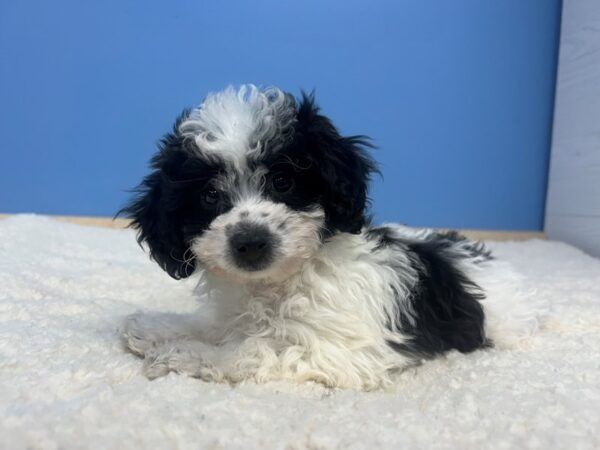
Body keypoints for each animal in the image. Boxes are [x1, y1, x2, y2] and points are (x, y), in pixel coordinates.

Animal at [119, 84, 540, 390]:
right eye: (209, 195)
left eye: (283, 181)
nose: (250, 241)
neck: (275, 285)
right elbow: (215, 327)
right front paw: (157, 327)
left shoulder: (340, 352)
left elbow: (251, 349)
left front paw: (181, 353)